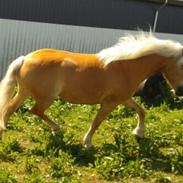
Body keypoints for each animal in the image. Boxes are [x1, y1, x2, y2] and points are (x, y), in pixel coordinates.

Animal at [0, 31, 183, 149]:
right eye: (182, 65)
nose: (180, 91)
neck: (126, 67)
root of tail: (26, 58)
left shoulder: (124, 99)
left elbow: (142, 111)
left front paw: (138, 133)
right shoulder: (110, 103)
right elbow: (96, 122)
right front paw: (88, 143)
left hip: (24, 92)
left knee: (10, 108)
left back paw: (5, 128)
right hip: (45, 98)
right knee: (35, 110)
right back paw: (56, 129)